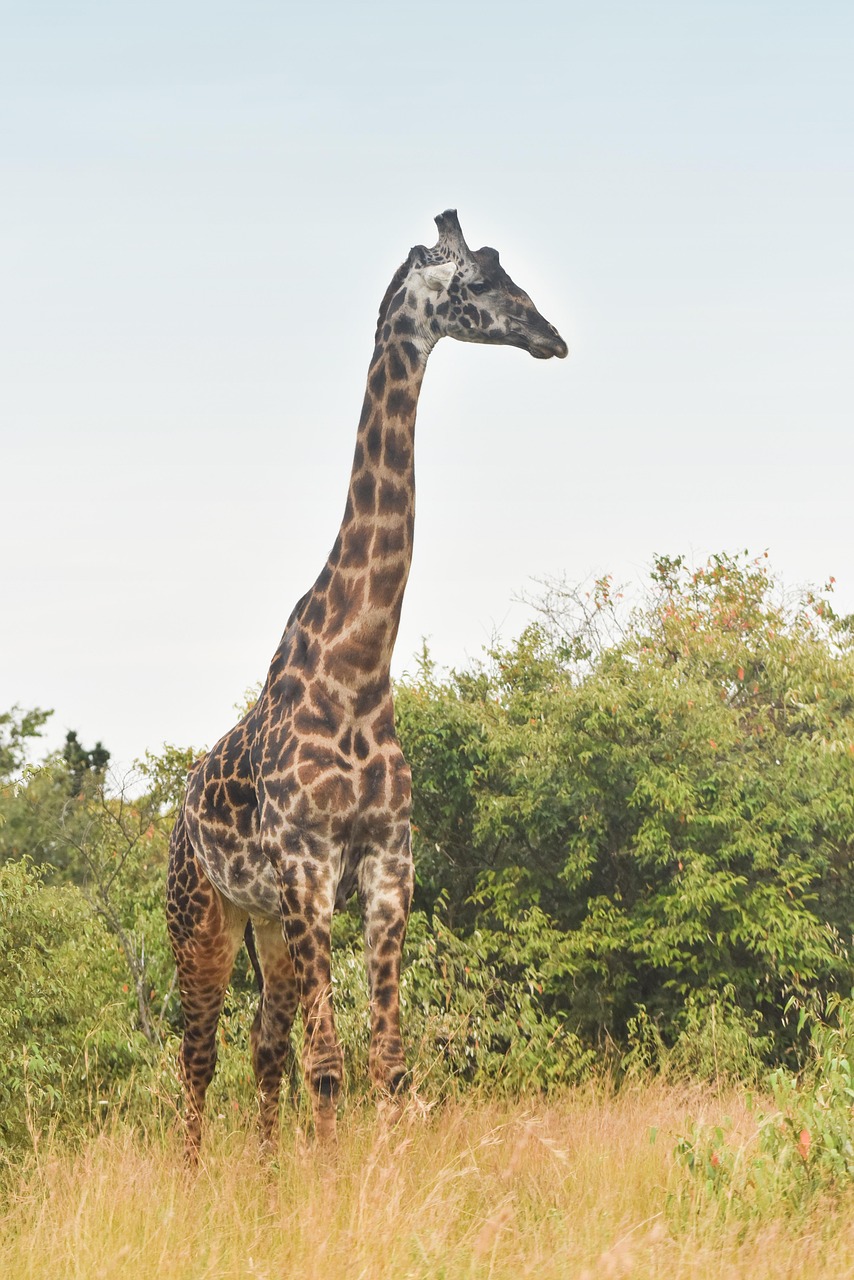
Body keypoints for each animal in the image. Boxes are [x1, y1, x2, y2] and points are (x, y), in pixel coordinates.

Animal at [166, 209, 567, 1158]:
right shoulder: (309, 868)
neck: (355, 668)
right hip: (203, 916)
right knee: (198, 1055)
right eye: (478, 282)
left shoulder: (388, 864)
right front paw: (335, 1180)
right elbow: (331, 1062)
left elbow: (387, 1061)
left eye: (508, 270)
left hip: (266, 925)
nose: (551, 336)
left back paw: (265, 1177)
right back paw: (191, 1181)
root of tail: (175, 813)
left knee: (261, 1044)